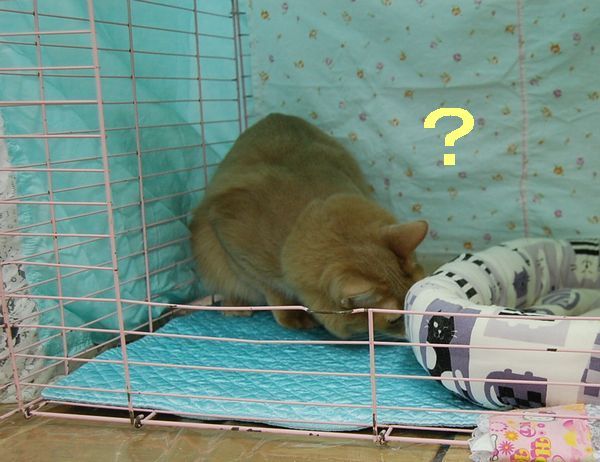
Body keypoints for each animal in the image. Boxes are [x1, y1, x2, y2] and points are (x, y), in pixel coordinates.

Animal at [190, 113, 428, 339]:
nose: (413, 330)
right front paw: (292, 315)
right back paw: (235, 305)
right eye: (395, 320)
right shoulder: (231, 241)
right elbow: (270, 288)